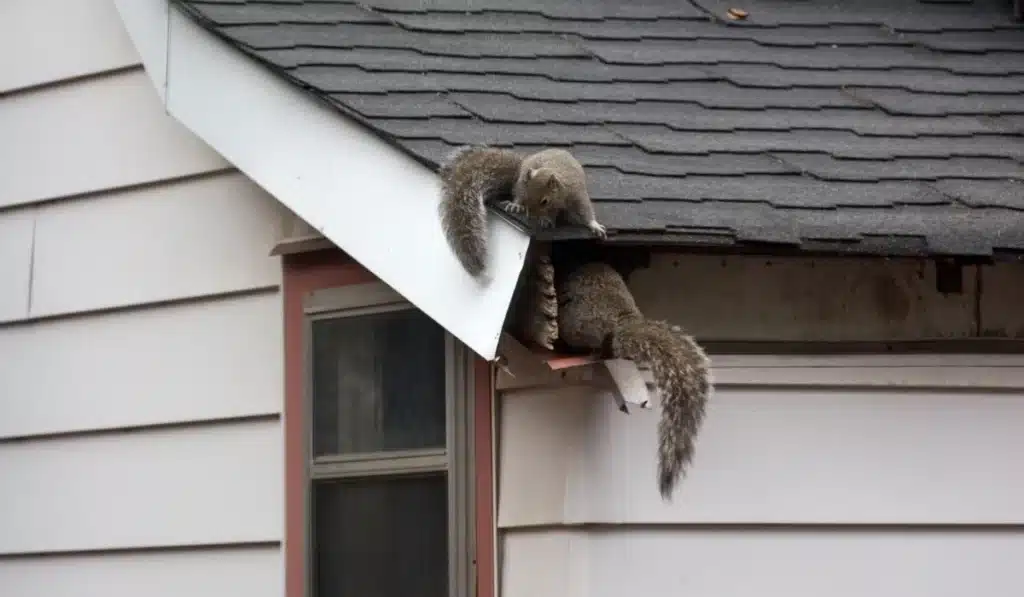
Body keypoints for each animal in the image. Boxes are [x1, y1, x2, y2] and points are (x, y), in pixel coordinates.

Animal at [438, 146, 607, 278]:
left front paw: (594, 225)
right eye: (527, 198)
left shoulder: (576, 194)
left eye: (544, 201)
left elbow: (585, 211)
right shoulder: (524, 190)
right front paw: (521, 207)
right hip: (520, 181)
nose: (530, 216)